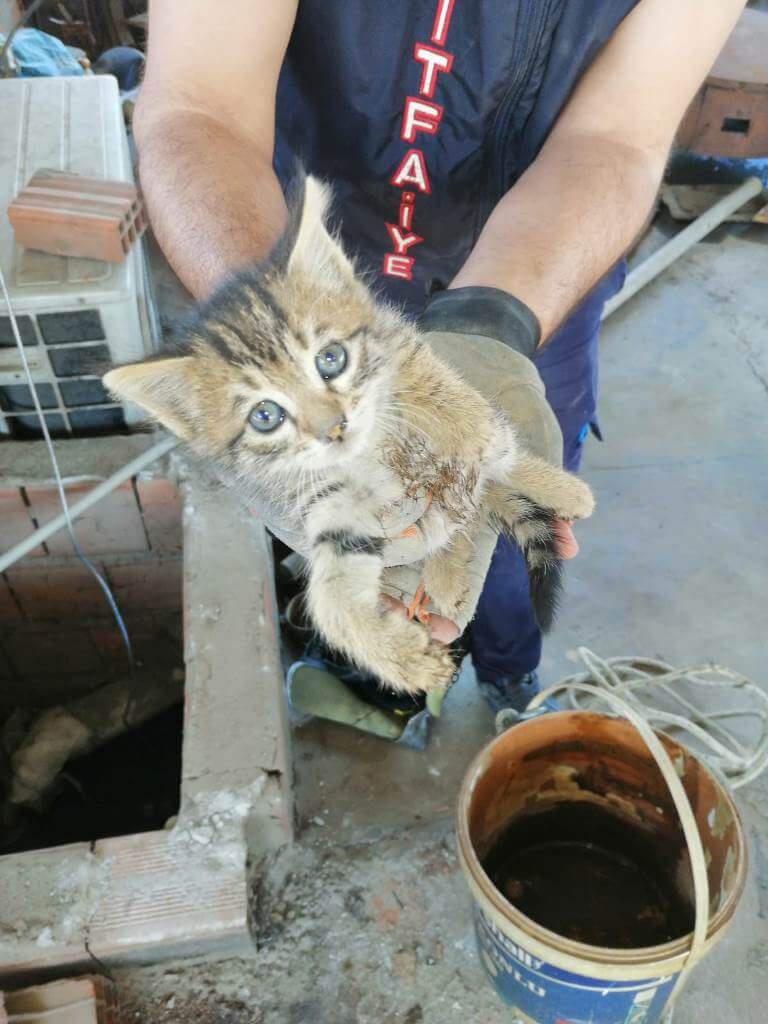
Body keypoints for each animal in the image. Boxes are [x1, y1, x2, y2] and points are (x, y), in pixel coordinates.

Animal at [103, 180, 593, 700]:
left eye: (331, 358)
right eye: (265, 416)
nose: (333, 427)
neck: (372, 448)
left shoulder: (405, 350)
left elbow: (464, 418)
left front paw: (482, 445)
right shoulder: (334, 500)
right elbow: (334, 596)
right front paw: (403, 659)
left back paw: (557, 492)